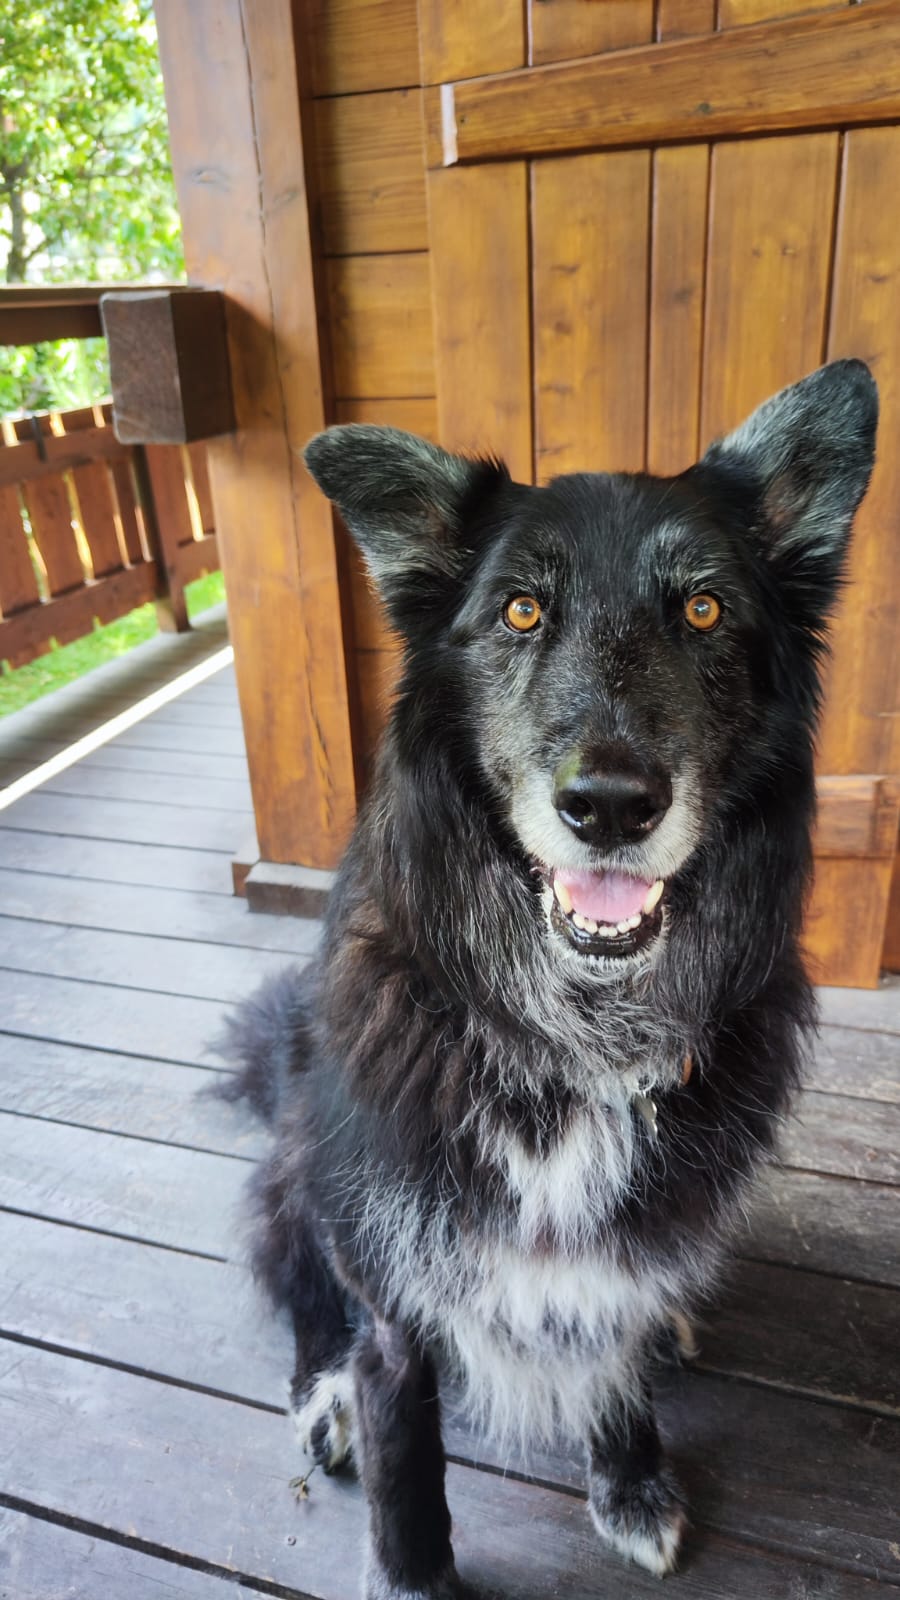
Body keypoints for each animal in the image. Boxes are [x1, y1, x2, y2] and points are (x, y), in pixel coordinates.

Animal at [221, 360, 877, 1598]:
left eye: (705, 610)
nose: (611, 804)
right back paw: (323, 1392)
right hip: (303, 1171)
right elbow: (405, 1447)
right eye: (521, 611)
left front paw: (631, 1478)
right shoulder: (395, 1274)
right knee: (304, 1288)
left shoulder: (626, 1249)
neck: (572, 1040)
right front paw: (413, 1571)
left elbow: (613, 1350)